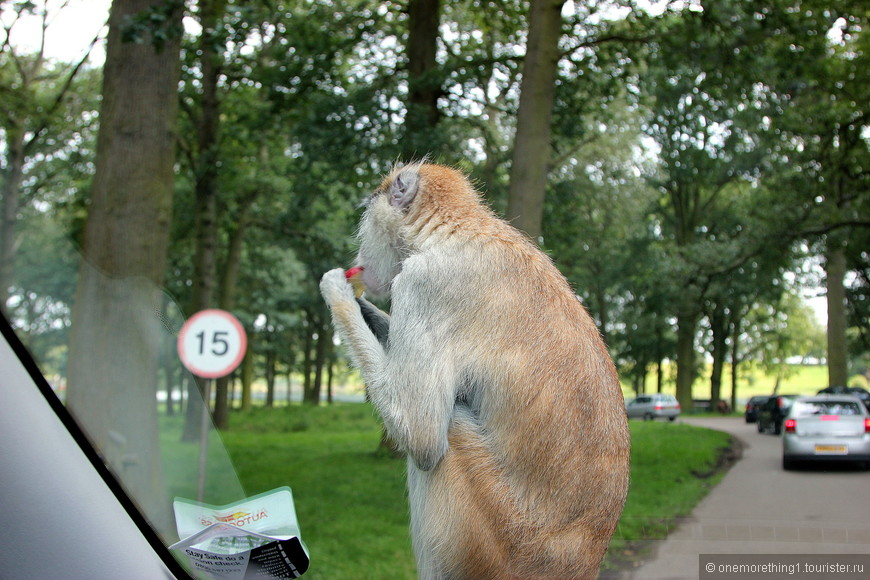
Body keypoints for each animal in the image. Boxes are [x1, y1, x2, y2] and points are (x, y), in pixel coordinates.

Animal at [324, 162, 632, 580]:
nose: (358, 258)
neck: (456, 229)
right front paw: (365, 308)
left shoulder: (426, 284)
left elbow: (421, 435)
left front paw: (335, 289)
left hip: (494, 543)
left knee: (447, 428)